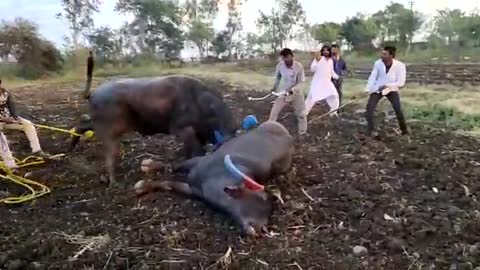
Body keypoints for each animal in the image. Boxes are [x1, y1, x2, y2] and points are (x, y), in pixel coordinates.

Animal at [133, 121, 294, 237]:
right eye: (263, 197)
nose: (262, 229)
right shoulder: (196, 164)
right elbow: (172, 171)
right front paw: (146, 175)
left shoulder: (194, 190)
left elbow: (170, 183)